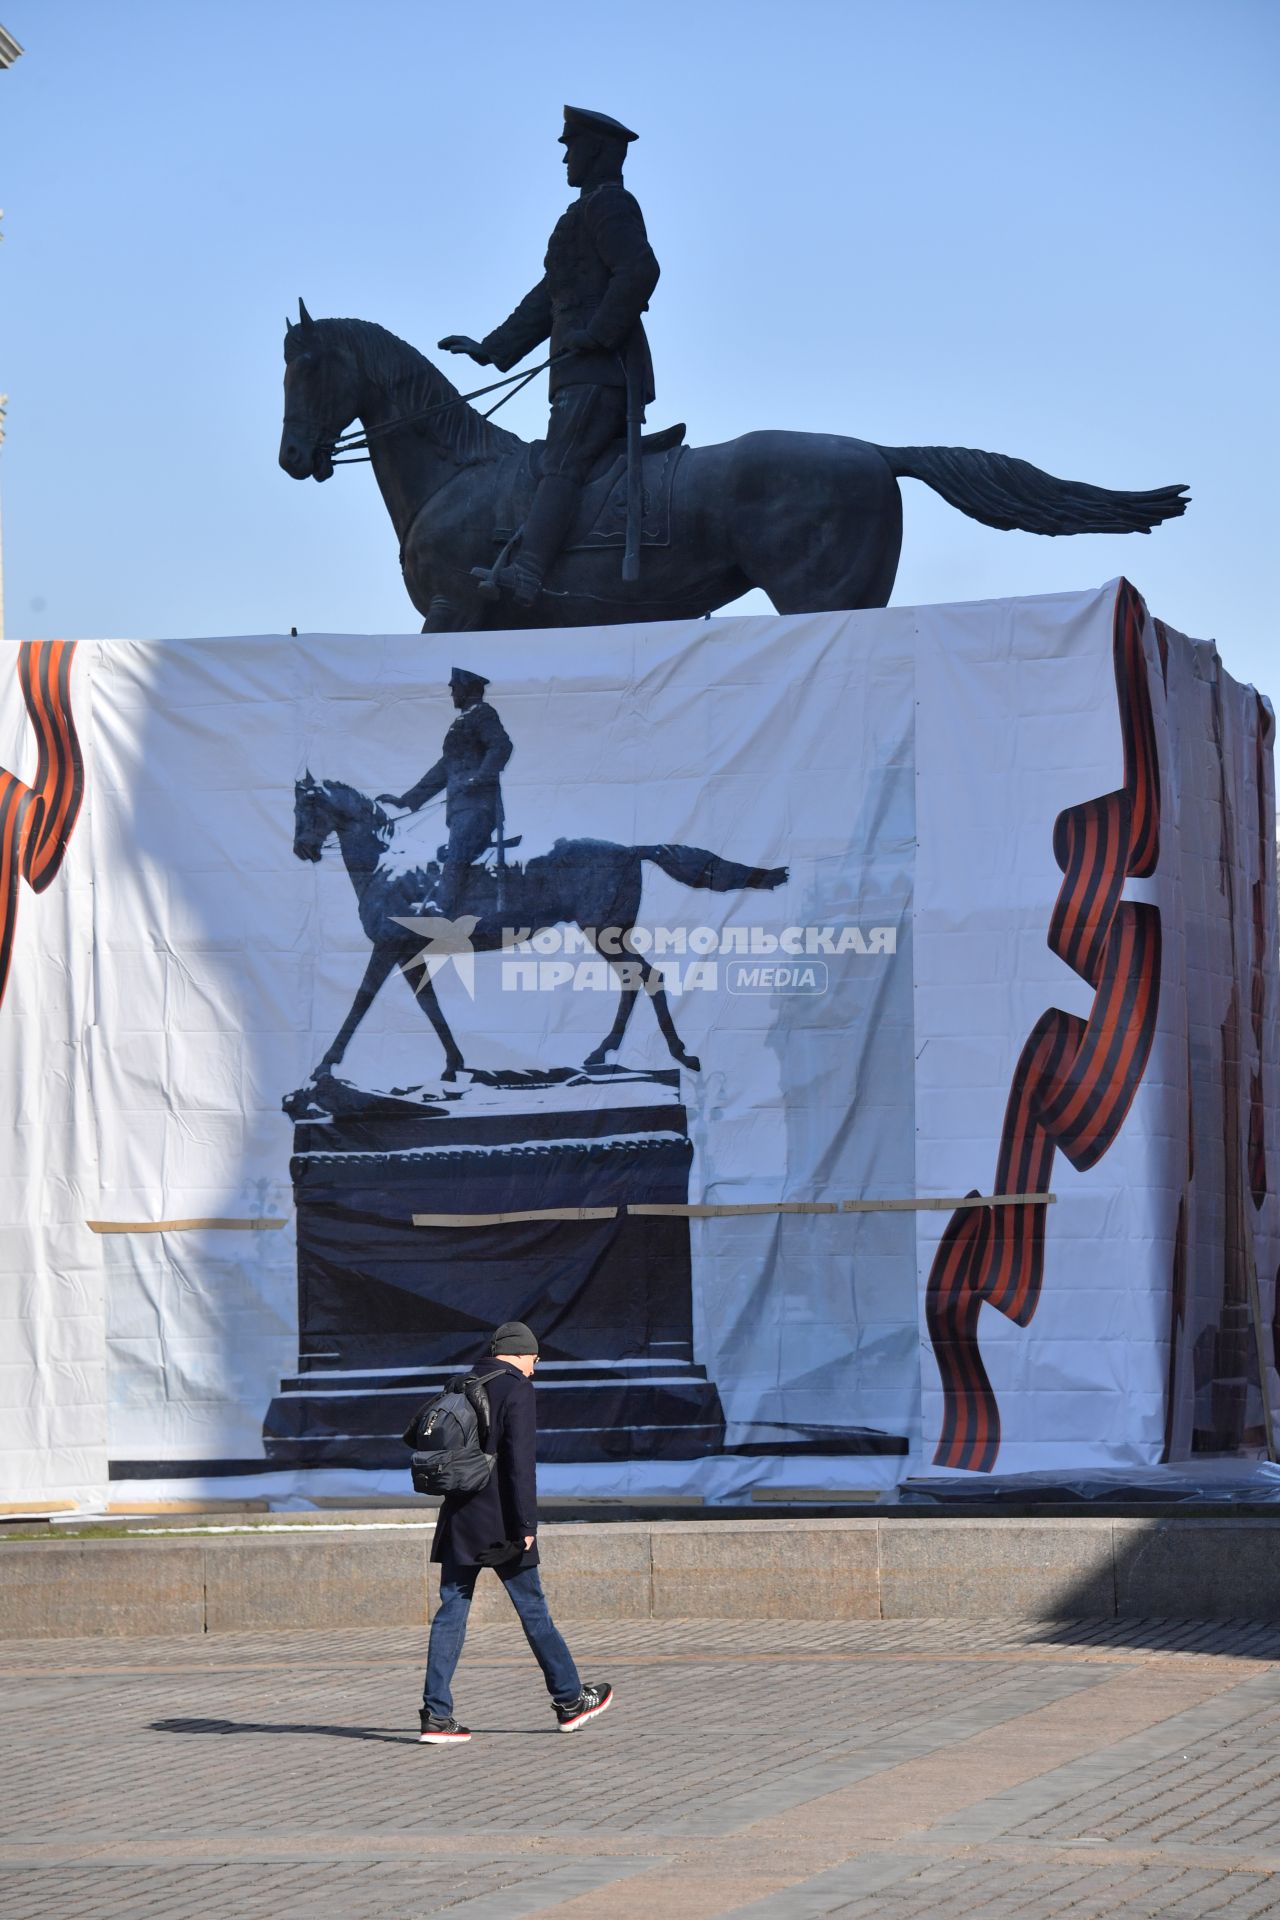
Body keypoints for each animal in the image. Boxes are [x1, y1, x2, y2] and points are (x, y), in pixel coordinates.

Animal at [293, 775, 786, 1082]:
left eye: (309, 803)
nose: (302, 850)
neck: (385, 864)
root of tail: (630, 848)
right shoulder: (409, 952)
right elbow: (429, 1005)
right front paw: (454, 1063)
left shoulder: (390, 946)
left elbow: (361, 1002)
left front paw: (323, 1067)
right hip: (610, 931)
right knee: (636, 979)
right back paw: (605, 1052)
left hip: (603, 930)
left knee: (647, 977)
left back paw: (675, 1053)